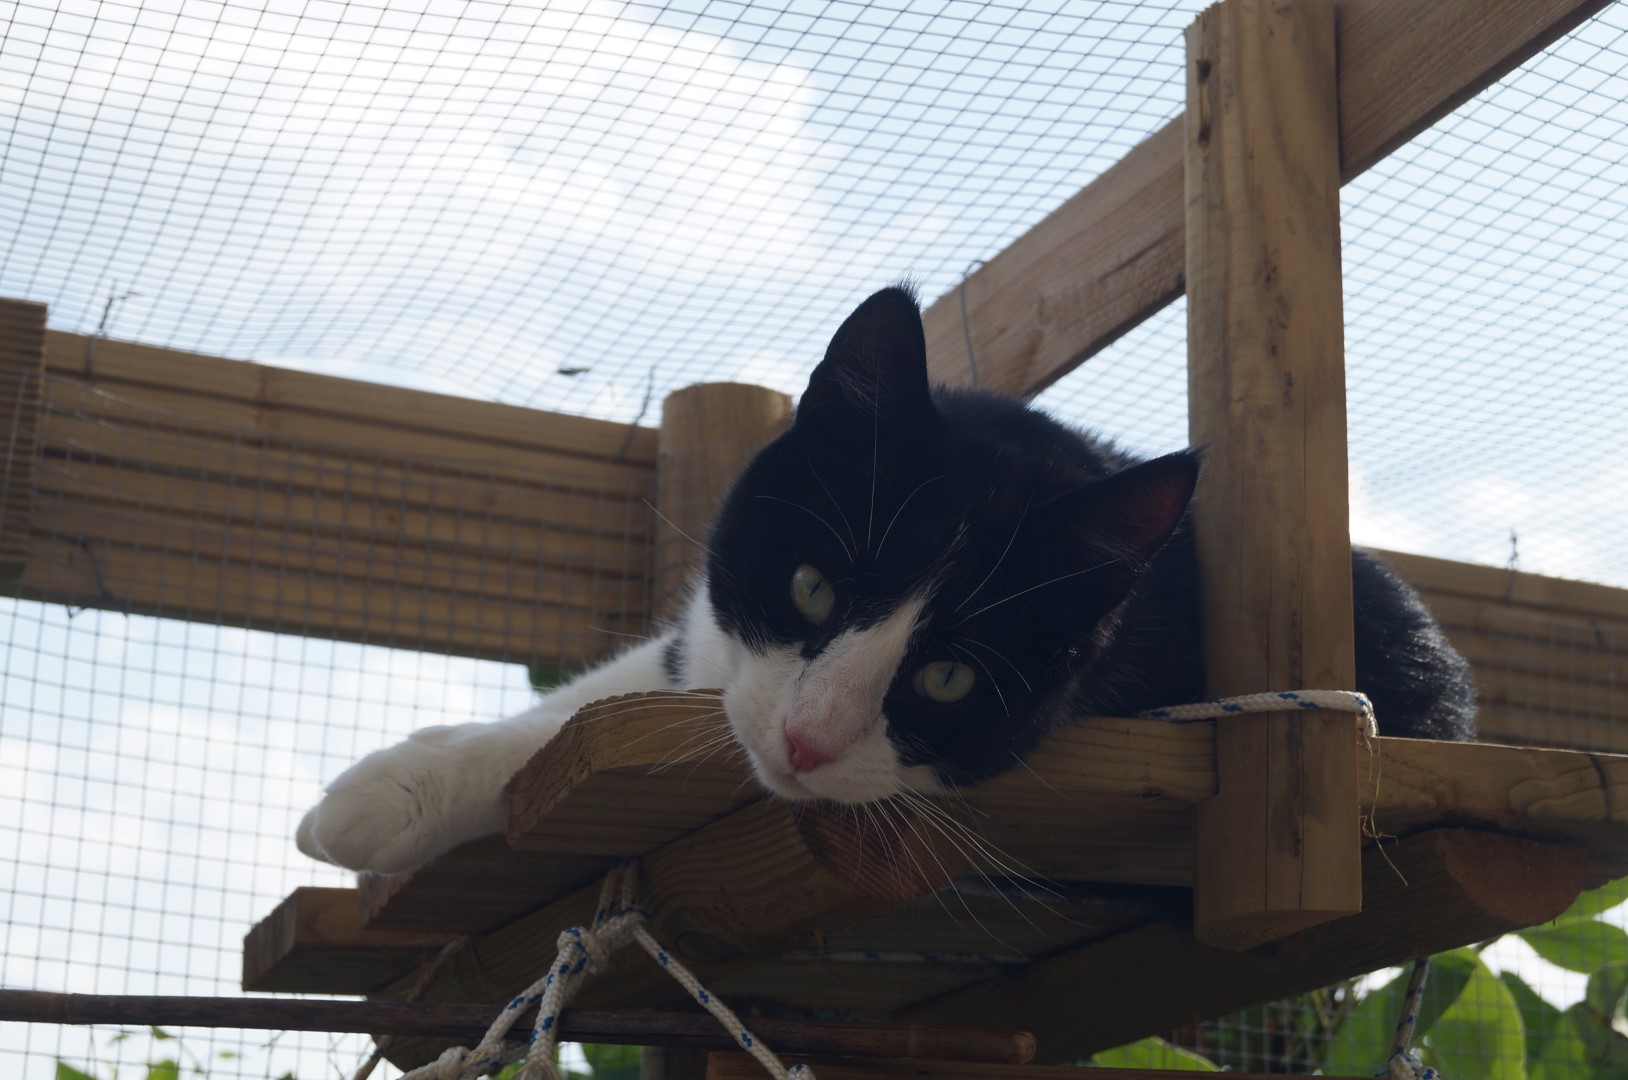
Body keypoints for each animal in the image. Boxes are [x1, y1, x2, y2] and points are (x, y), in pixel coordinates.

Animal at [293, 286, 1478, 879]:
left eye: (950, 678)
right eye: (814, 587)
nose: (808, 742)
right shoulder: (706, 642)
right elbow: (606, 700)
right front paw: (389, 791)